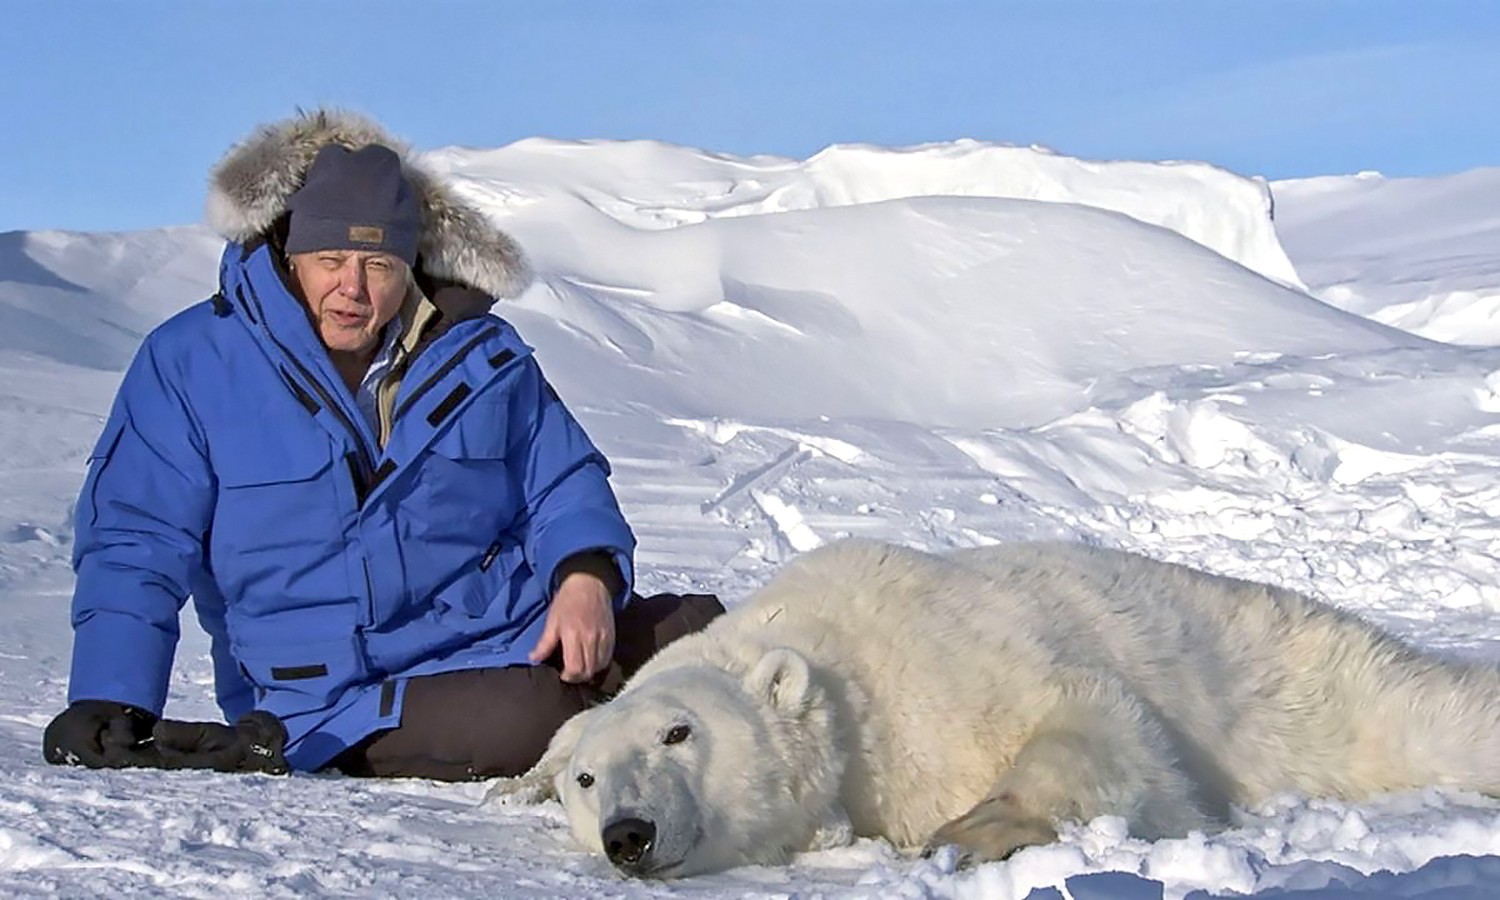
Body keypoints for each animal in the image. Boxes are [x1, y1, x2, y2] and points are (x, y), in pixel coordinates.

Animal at [489, 537, 1500, 876]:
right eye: (587, 779)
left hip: (1303, 675)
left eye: (679, 731)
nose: (628, 834)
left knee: (1424, 711)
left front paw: (973, 828)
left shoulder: (950, 664)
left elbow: (1102, 723)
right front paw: (515, 786)